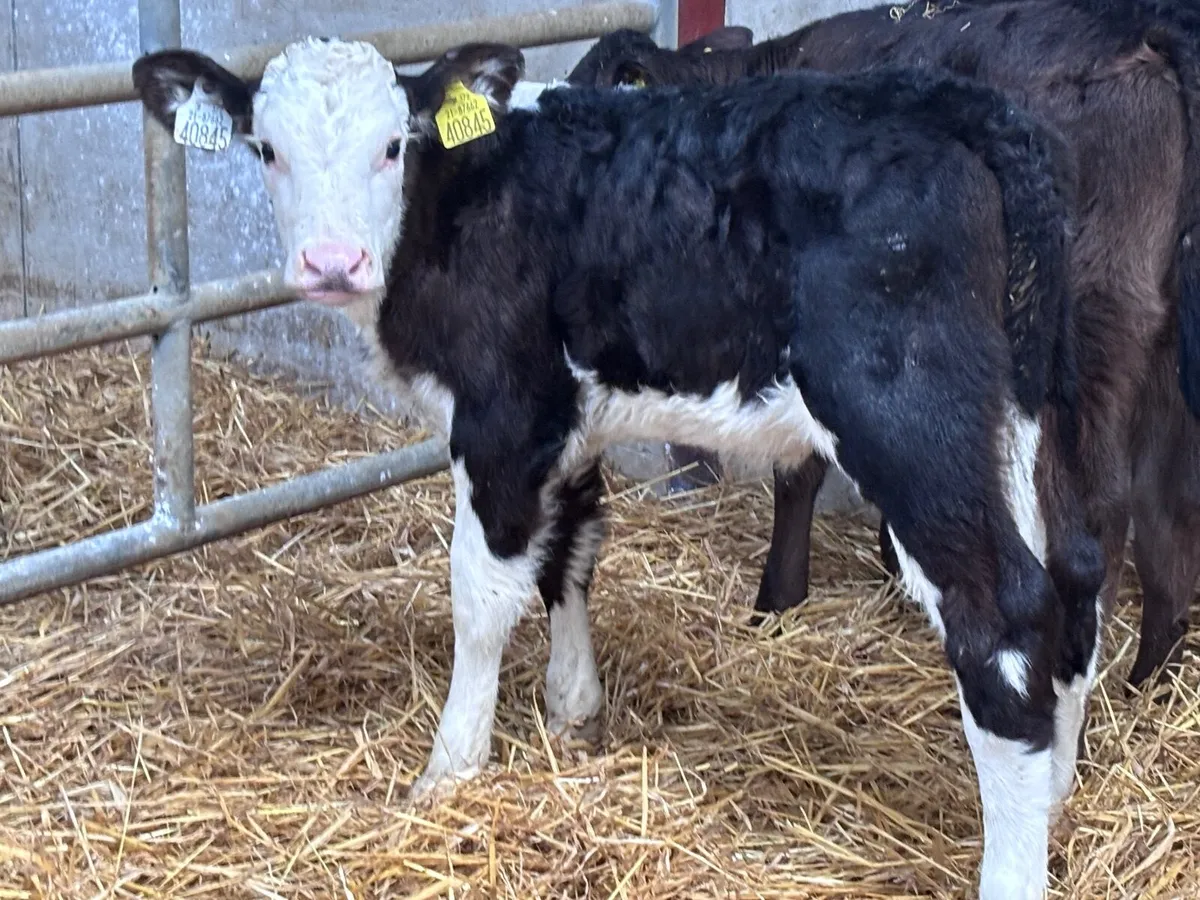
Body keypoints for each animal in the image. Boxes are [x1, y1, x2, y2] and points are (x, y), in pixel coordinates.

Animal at [133, 37, 1099, 898]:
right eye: (267, 148)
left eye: (393, 145)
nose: (330, 263)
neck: (455, 202)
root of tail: (956, 105)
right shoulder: (571, 417)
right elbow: (572, 550)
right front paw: (574, 709)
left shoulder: (503, 413)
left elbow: (482, 593)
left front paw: (451, 767)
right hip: (1016, 416)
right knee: (1073, 572)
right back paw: (1053, 795)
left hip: (907, 416)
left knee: (1004, 613)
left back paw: (1011, 870)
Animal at [568, 0, 1200, 686]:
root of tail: (1144, 29)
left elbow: (800, 470)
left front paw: (777, 600)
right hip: (1164, 347)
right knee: (1169, 512)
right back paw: (1148, 682)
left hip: (1088, 318)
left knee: (1098, 517)